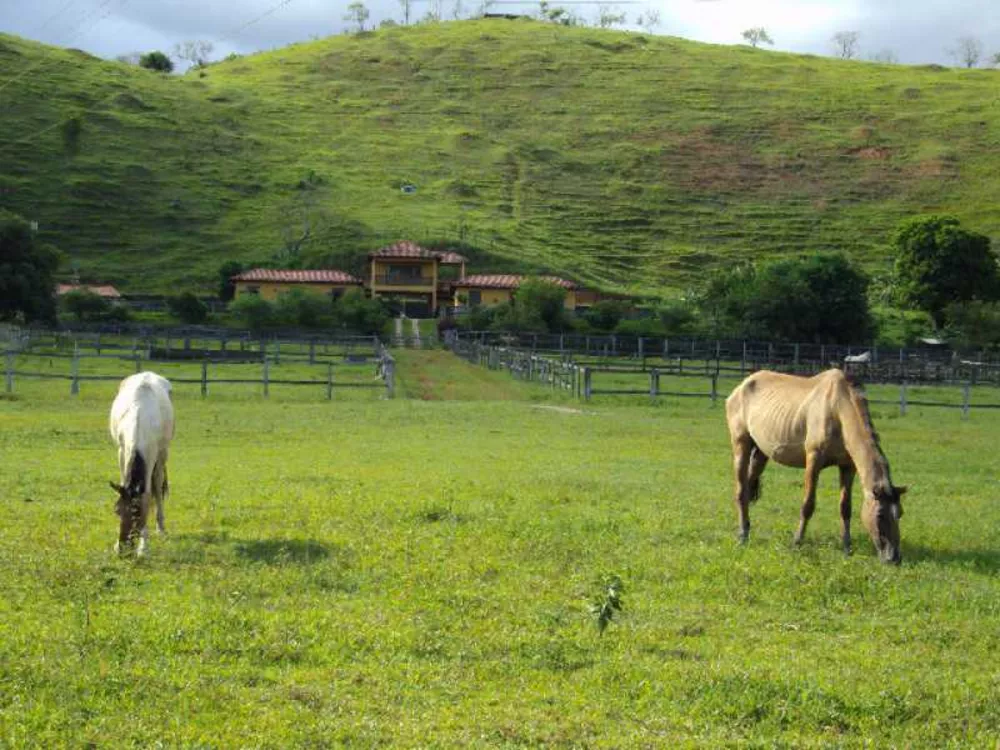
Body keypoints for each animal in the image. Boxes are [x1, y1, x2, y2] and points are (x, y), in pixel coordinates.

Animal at [108, 372, 175, 556]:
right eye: (117, 511)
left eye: (138, 514)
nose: (122, 548)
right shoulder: (121, 451)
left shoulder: (156, 454)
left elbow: (151, 493)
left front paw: (143, 547)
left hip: (163, 454)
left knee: (157, 488)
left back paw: (161, 528)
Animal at [728, 370, 908, 564]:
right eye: (880, 515)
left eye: (900, 513)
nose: (894, 557)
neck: (838, 408)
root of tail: (740, 387)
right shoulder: (814, 460)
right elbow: (808, 505)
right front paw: (797, 542)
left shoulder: (847, 466)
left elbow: (845, 508)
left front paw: (847, 547)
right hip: (741, 443)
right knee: (741, 492)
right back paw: (743, 535)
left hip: (761, 453)